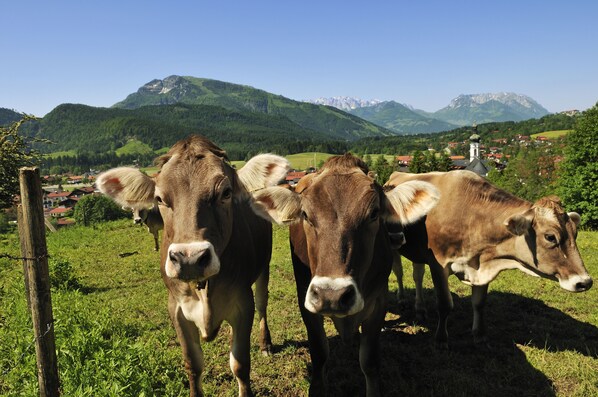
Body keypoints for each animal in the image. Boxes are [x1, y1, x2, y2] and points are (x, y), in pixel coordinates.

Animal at [98, 135, 290, 396]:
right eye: (159, 199)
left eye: (226, 193)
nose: (189, 259)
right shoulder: (176, 309)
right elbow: (193, 364)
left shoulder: (242, 303)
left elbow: (240, 364)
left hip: (263, 267)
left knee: (263, 302)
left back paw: (265, 344)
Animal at [248, 154, 440, 396]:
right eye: (305, 215)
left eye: (374, 213)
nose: (332, 296)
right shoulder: (306, 300)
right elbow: (319, 355)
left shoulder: (378, 302)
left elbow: (370, 362)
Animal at [386, 170, 592, 346]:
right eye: (550, 237)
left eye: (575, 233)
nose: (585, 282)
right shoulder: (439, 264)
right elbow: (444, 304)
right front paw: (441, 339)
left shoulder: (482, 265)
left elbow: (479, 303)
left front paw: (479, 335)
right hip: (395, 245)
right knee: (399, 272)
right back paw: (402, 299)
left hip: (418, 253)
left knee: (418, 276)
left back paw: (420, 309)